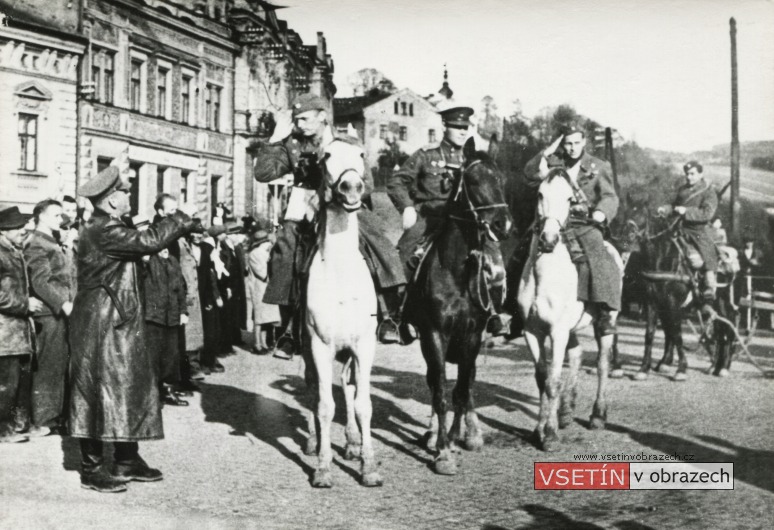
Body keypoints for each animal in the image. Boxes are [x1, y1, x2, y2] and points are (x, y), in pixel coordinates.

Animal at [406, 137, 516, 474]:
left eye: (502, 180)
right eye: (473, 180)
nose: (504, 224)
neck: (454, 269)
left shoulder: (472, 335)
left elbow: (461, 389)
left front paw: (455, 438)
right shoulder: (434, 334)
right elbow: (441, 390)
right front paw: (442, 450)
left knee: (466, 384)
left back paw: (469, 433)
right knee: (434, 381)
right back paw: (432, 435)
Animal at [516, 168, 624, 450]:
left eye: (569, 199)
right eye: (540, 194)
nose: (549, 239)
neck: (544, 275)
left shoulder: (557, 331)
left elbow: (553, 382)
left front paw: (550, 435)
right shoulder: (532, 332)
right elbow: (541, 379)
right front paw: (539, 429)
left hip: (603, 326)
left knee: (602, 364)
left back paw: (597, 416)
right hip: (571, 329)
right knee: (576, 355)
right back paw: (565, 411)